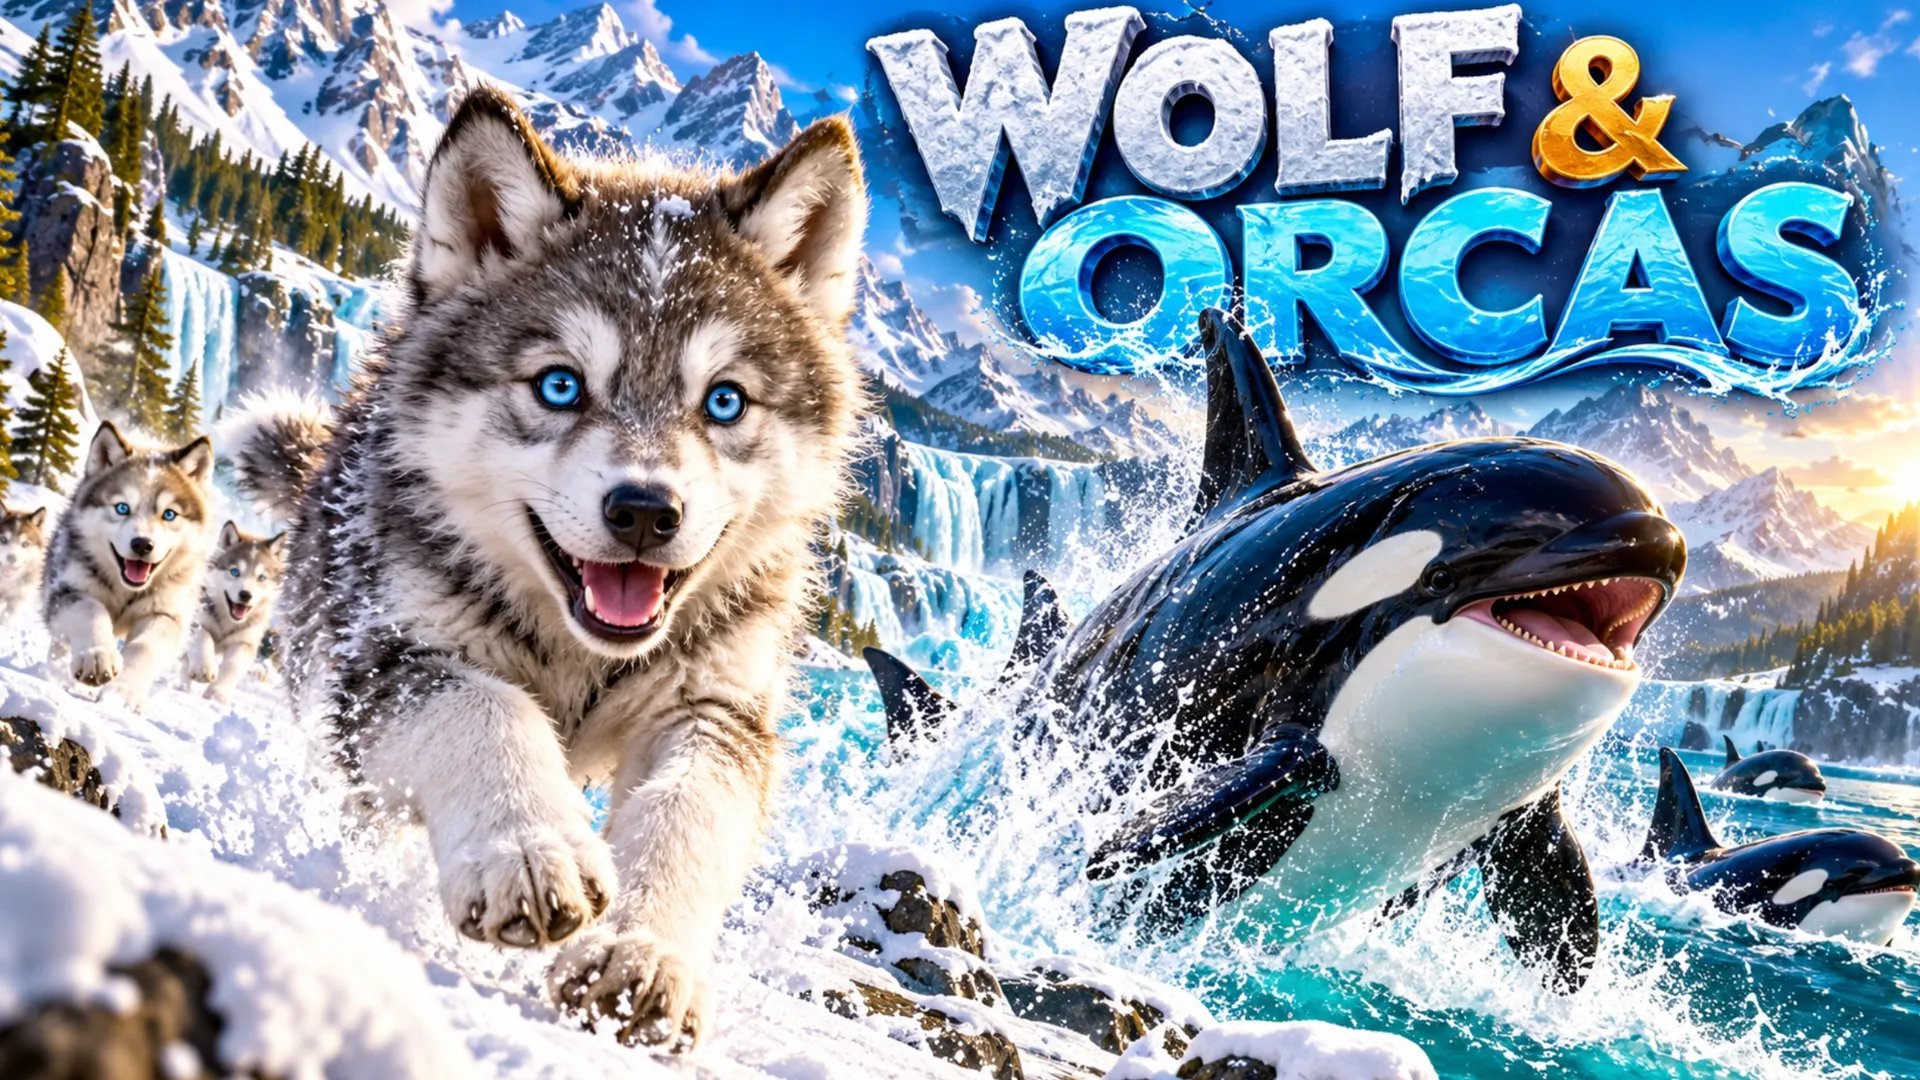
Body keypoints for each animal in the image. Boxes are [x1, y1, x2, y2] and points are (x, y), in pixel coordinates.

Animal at [43, 423, 218, 710]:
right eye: (122, 508)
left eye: (169, 514)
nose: (142, 544)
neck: (125, 592)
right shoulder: (67, 591)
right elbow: (90, 610)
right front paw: (97, 657)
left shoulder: (165, 613)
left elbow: (144, 648)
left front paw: (122, 692)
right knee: (60, 643)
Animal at [184, 521, 287, 704]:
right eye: (234, 572)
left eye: (262, 578)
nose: (245, 595)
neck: (228, 622)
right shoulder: (196, 618)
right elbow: (203, 636)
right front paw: (204, 668)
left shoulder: (245, 641)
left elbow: (233, 665)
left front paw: (217, 693)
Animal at [227, 86, 868, 1047]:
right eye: (560, 385)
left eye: (724, 402)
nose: (645, 511)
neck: (582, 657)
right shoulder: (387, 660)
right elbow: (487, 710)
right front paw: (529, 850)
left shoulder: (717, 709)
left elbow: (685, 812)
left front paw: (644, 954)